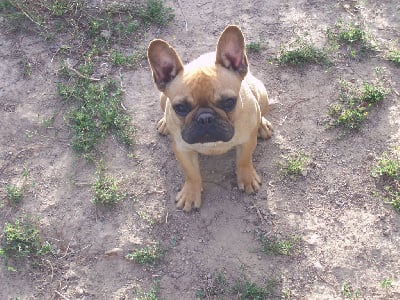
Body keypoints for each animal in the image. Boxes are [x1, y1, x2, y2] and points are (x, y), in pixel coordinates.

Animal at [148, 25, 274, 211]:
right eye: (180, 108)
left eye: (229, 102)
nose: (205, 118)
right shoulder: (183, 149)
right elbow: (191, 173)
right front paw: (190, 193)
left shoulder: (247, 141)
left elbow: (244, 160)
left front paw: (247, 178)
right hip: (162, 99)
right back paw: (164, 123)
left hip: (261, 92)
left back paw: (262, 125)